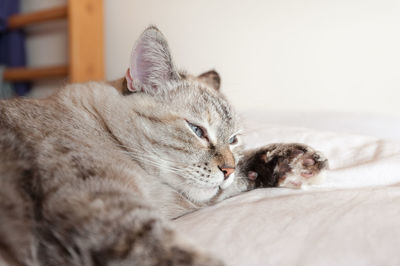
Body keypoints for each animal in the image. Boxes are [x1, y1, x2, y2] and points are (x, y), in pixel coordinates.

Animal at [0, 25, 328, 266]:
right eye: (197, 131)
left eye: (233, 139)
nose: (227, 169)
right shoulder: (111, 215)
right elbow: (185, 254)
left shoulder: (169, 203)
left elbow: (237, 179)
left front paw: (293, 163)